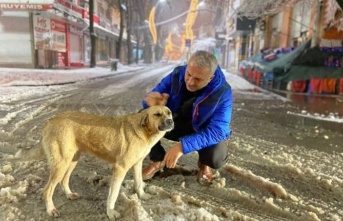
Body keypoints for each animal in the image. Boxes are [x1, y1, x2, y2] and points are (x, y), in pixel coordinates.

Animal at [14, 106, 173, 220]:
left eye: (169, 113)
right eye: (157, 114)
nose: (170, 121)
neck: (144, 130)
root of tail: (50, 121)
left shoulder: (137, 164)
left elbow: (139, 182)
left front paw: (142, 195)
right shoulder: (120, 168)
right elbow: (113, 194)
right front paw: (111, 212)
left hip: (72, 160)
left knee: (63, 181)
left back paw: (69, 195)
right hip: (61, 163)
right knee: (47, 190)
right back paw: (51, 210)